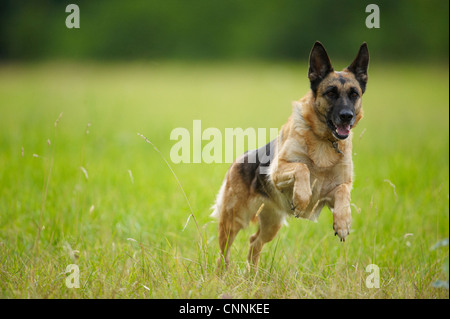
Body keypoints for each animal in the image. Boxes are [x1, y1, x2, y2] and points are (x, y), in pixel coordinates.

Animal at [211, 41, 370, 268]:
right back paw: (222, 273)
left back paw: (252, 274)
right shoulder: (278, 171)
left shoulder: (335, 190)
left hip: (271, 224)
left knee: (254, 242)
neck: (324, 141)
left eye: (354, 94)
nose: (346, 116)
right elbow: (302, 168)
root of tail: (238, 160)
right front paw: (301, 200)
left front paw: (342, 223)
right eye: (331, 93)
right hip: (234, 219)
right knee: (223, 253)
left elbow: (343, 193)